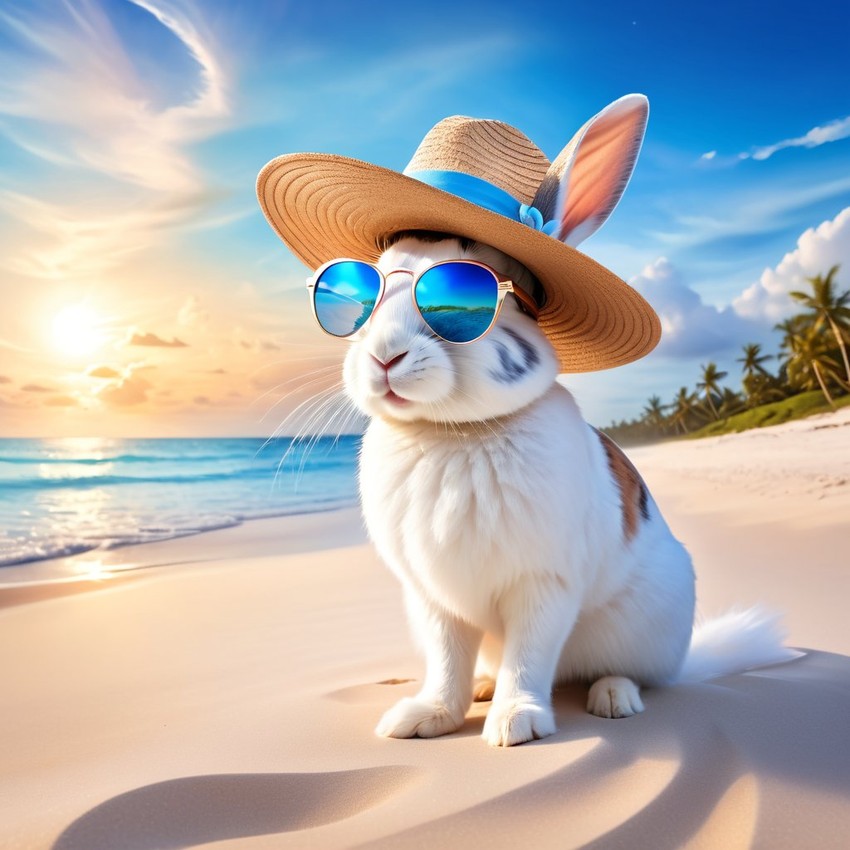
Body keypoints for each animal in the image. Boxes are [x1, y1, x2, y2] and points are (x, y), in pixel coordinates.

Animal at [336, 230, 796, 744]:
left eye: (461, 296)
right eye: (364, 303)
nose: (384, 356)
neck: (455, 433)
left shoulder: (543, 585)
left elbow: (528, 656)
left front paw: (516, 722)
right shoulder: (434, 598)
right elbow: (446, 662)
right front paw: (427, 717)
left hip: (641, 630)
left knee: (633, 674)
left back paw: (613, 697)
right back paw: (483, 686)